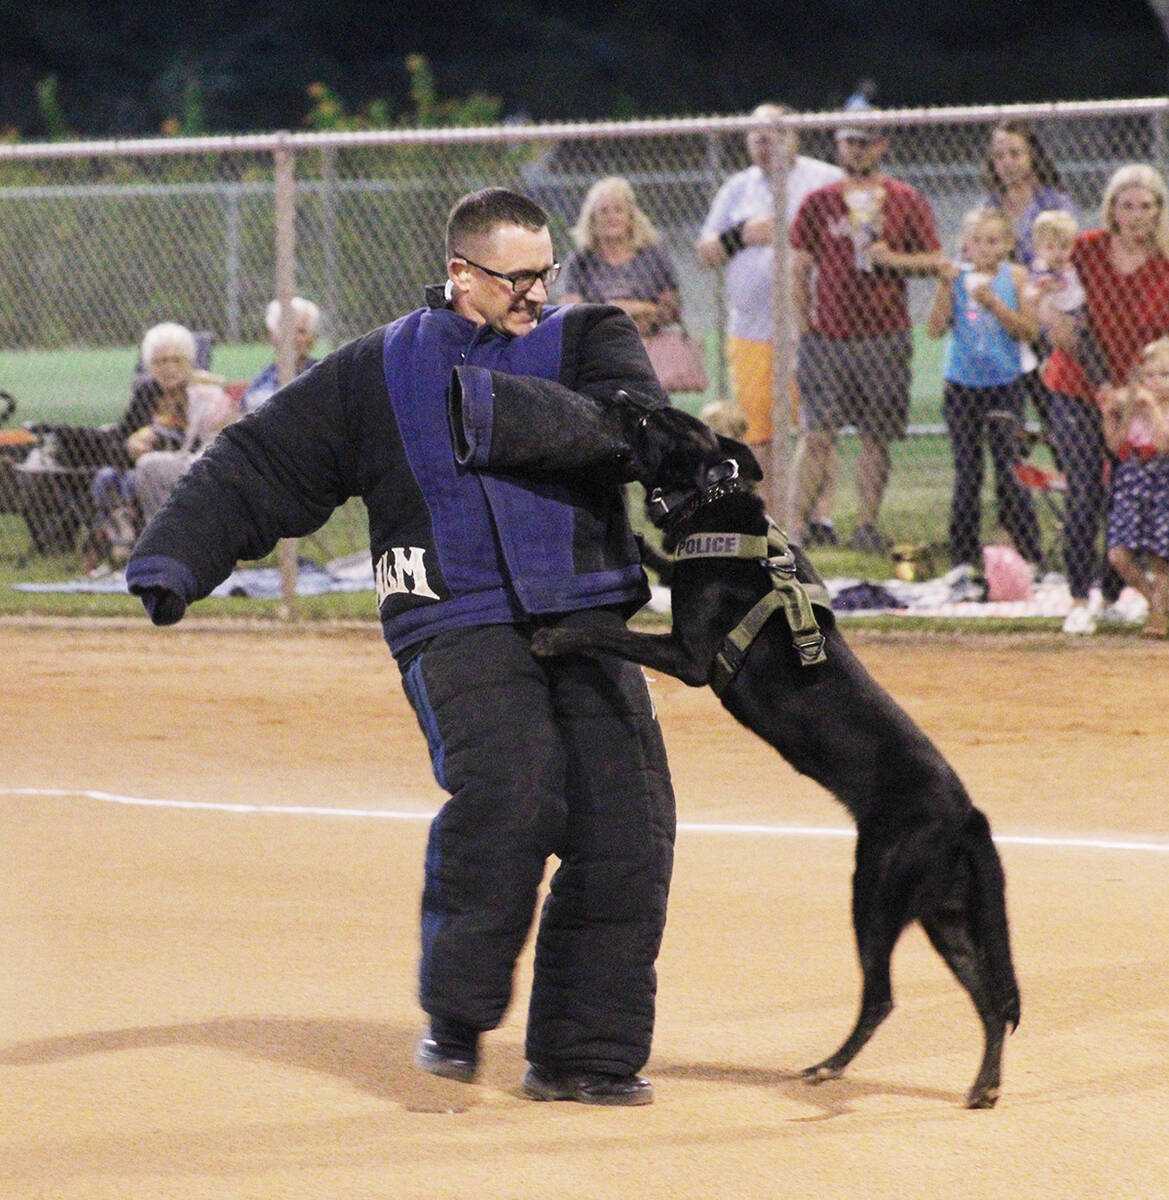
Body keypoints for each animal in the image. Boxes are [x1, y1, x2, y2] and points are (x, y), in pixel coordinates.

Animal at [535, 408, 1022, 1108]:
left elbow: (606, 632)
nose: (625, 395)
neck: (714, 501)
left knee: (883, 996)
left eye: (652, 421)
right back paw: (982, 1087)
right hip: (946, 915)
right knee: (989, 1000)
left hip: (877, 887)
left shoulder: (688, 657)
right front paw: (647, 548)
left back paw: (830, 1066)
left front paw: (554, 635)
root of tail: (967, 816)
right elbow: (659, 567)